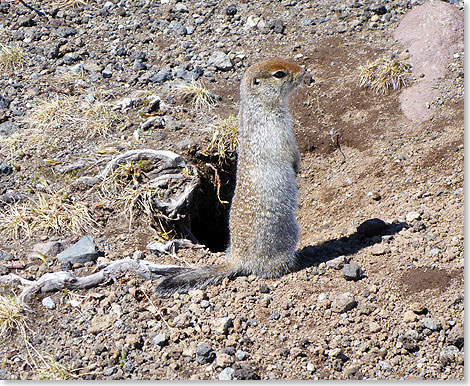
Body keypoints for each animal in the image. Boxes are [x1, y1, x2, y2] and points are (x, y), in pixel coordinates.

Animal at [156, 57, 306, 298]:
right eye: (279, 74)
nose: (304, 70)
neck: (261, 108)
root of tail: (237, 259)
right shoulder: (278, 131)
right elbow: (289, 151)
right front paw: (296, 166)